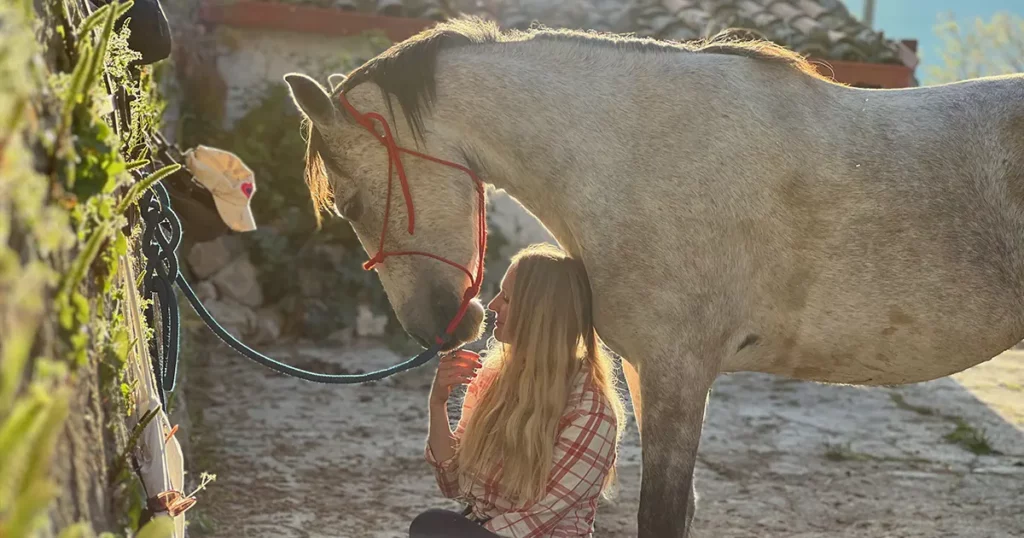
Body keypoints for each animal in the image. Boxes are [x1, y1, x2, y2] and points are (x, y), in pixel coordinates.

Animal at [284, 17, 1024, 536]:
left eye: (349, 202)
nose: (437, 329)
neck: (641, 156)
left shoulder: (679, 376)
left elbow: (661, 515)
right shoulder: (648, 375)